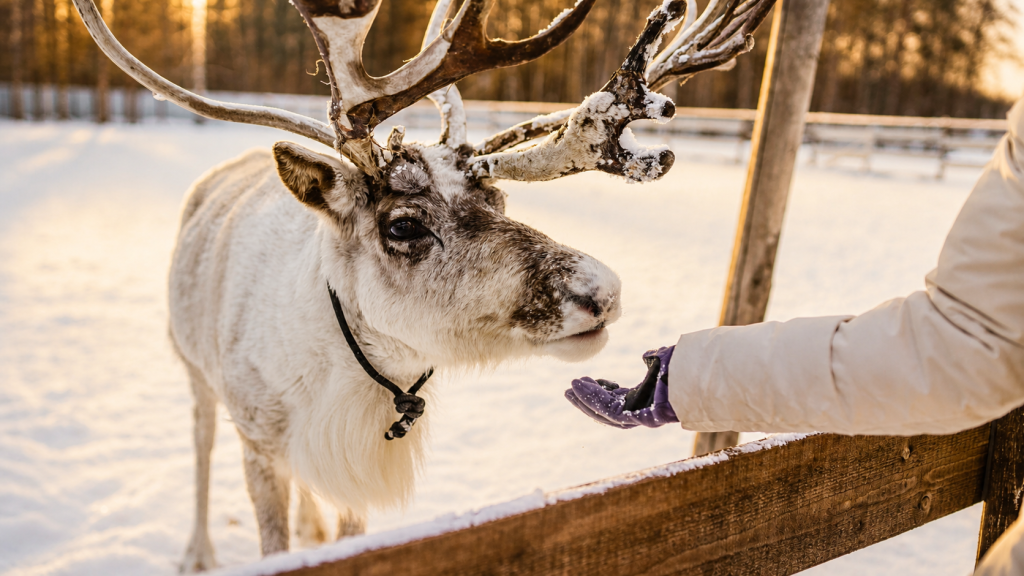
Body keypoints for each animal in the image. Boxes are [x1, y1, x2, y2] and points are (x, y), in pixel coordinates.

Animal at [71, 0, 775, 570]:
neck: (348, 378)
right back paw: (198, 551)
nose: (602, 291)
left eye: (499, 197)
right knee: (199, 447)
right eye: (404, 224)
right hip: (193, 369)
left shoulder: (357, 467)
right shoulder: (259, 439)